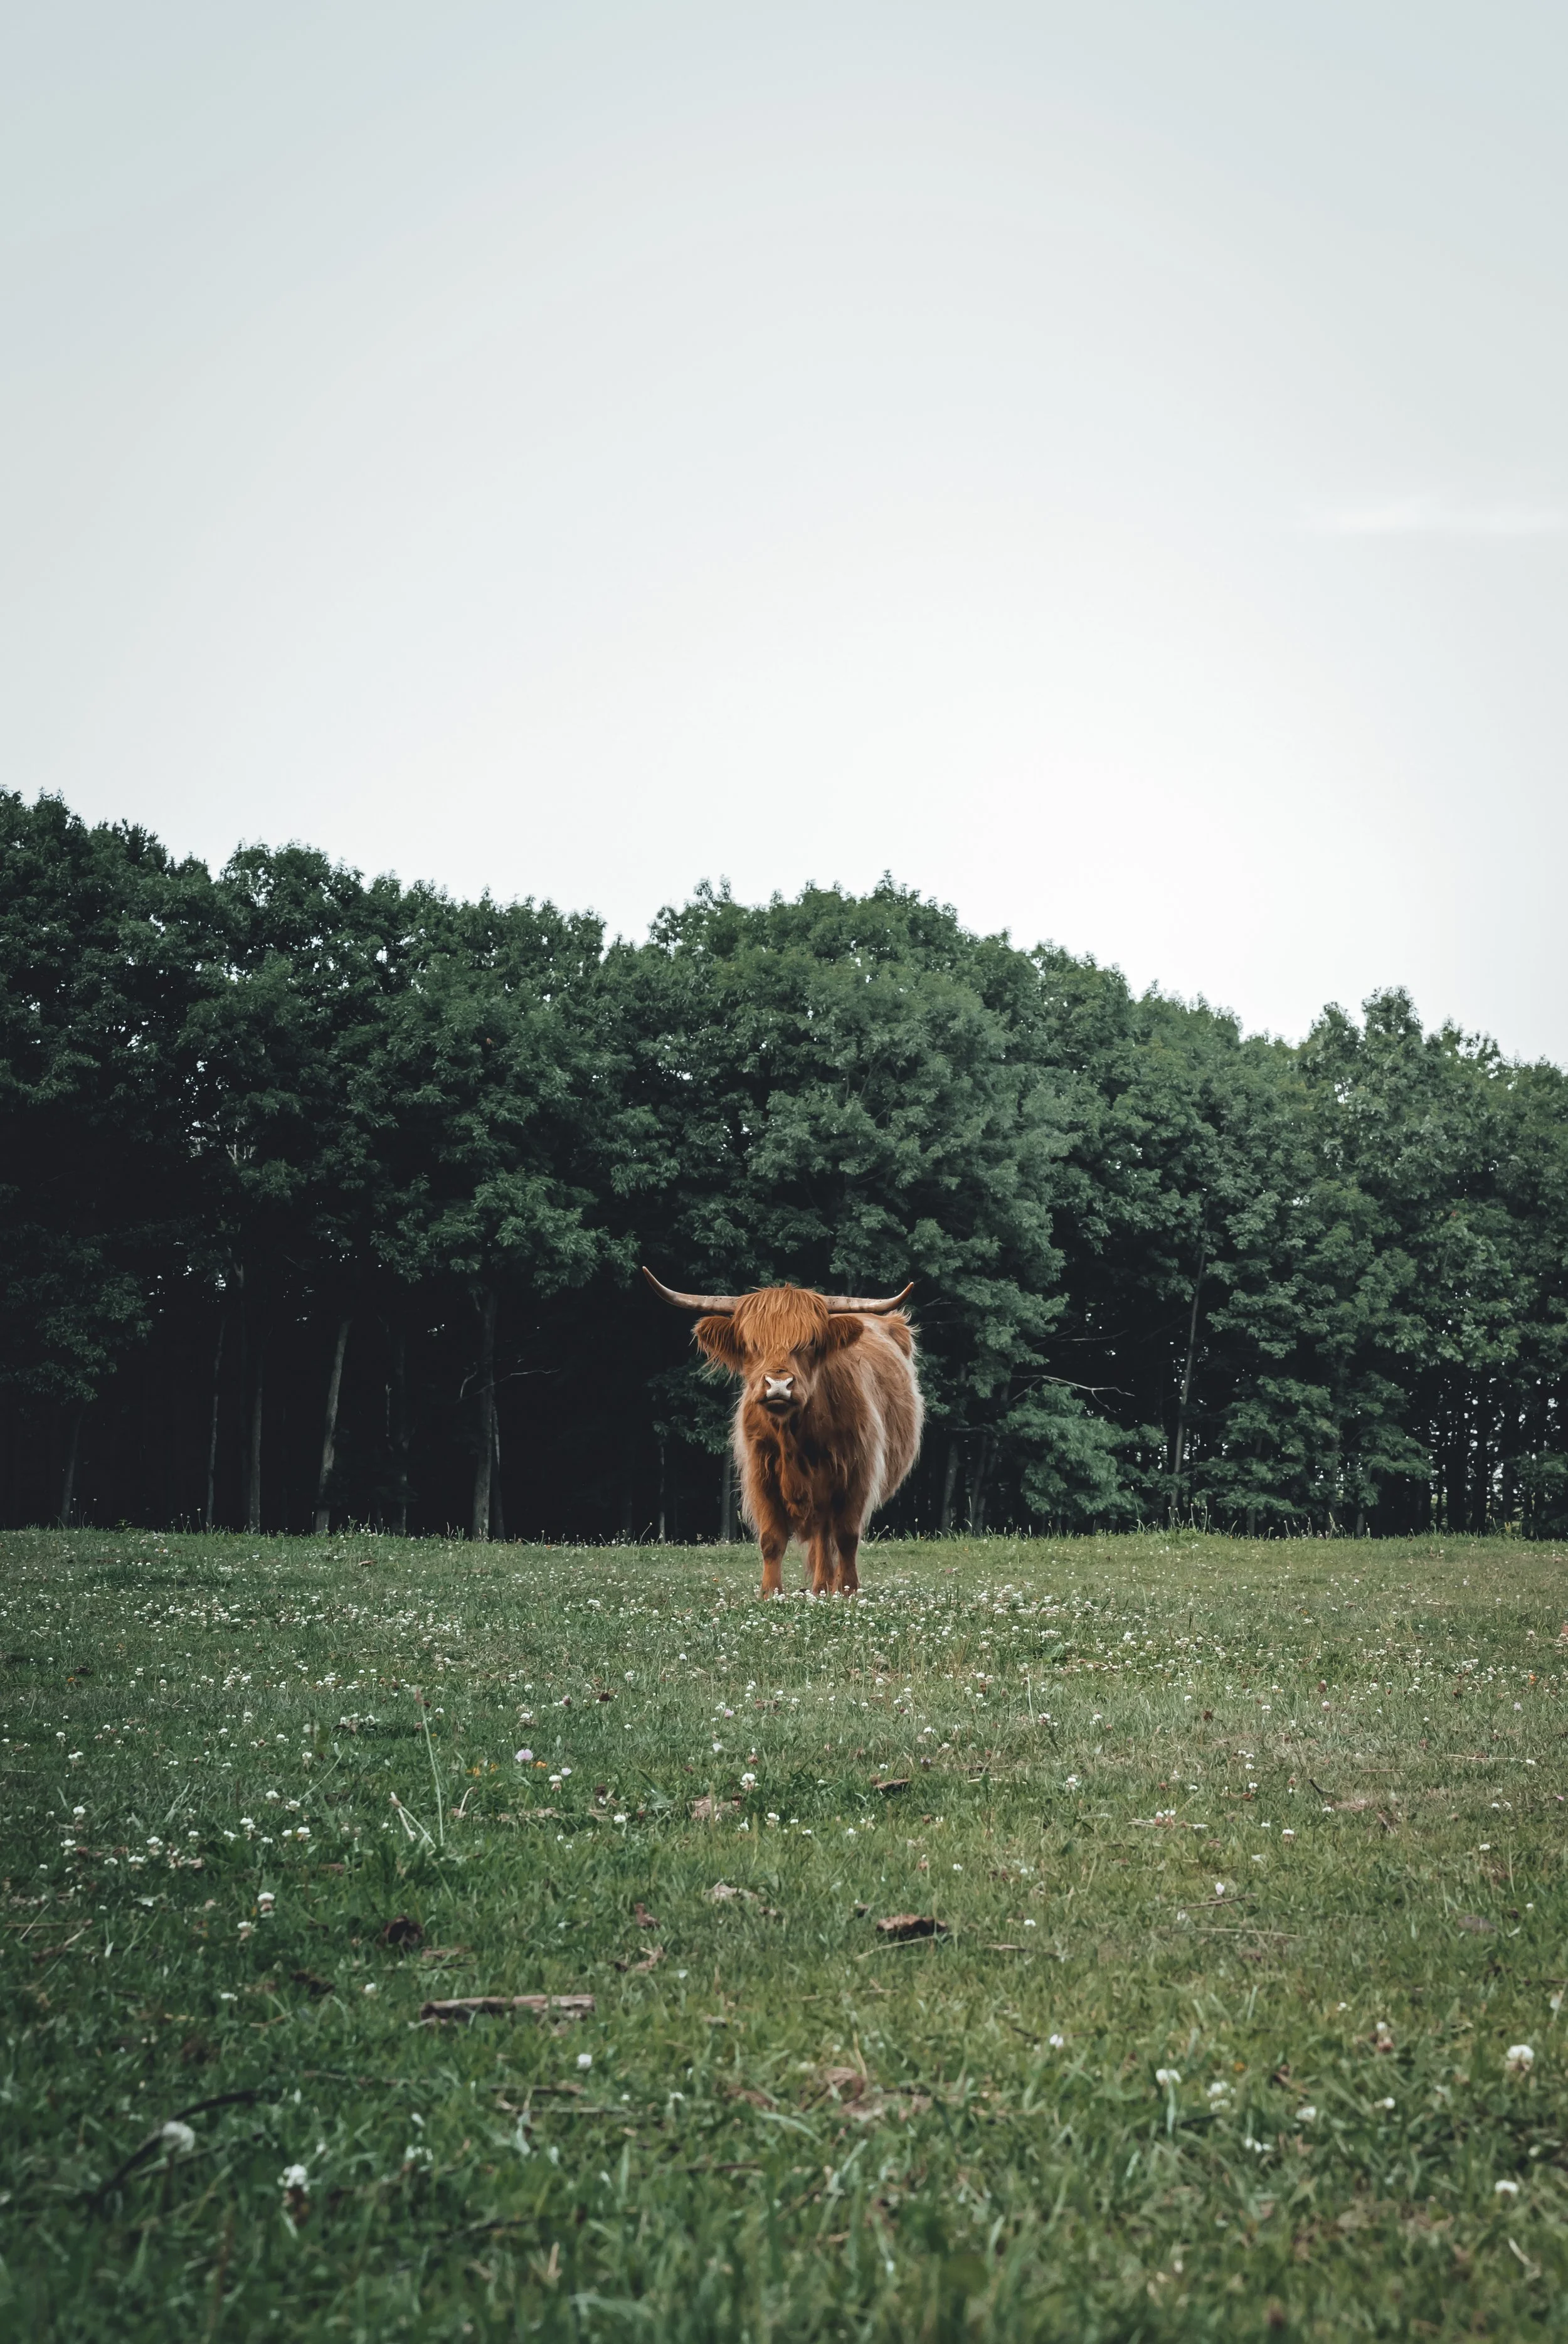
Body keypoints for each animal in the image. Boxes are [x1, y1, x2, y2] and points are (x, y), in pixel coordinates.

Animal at [643, 1269, 924, 1598]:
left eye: (811, 1342)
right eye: (751, 1344)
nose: (779, 1385)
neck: (793, 1437)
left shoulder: (857, 1472)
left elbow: (846, 1536)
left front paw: (848, 1590)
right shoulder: (760, 1473)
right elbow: (771, 1539)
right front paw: (770, 1593)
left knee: (827, 1535)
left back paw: (826, 1587)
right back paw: (820, 1586)